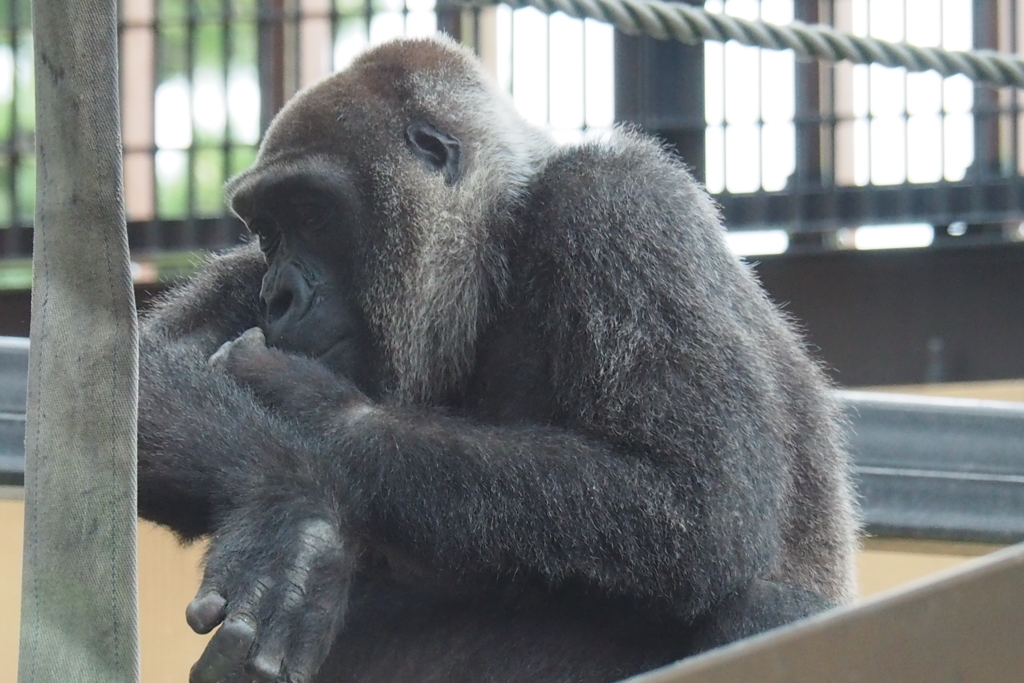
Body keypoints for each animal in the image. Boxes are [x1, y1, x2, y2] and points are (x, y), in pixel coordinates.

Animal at [136, 36, 856, 683]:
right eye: (268, 231)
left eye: (312, 213)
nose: (278, 296)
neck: (496, 251)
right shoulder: (240, 276)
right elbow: (135, 378)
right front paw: (284, 498)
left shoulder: (618, 204)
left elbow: (701, 501)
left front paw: (308, 408)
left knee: (770, 607)